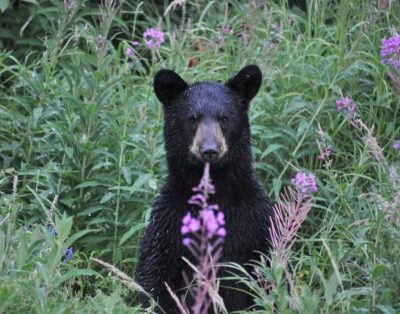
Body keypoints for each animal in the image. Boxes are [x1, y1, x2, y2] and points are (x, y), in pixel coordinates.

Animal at [136, 65, 274, 312]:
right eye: (192, 118)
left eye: (224, 118)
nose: (210, 150)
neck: (214, 193)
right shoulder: (168, 222)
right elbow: (154, 275)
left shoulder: (256, 220)